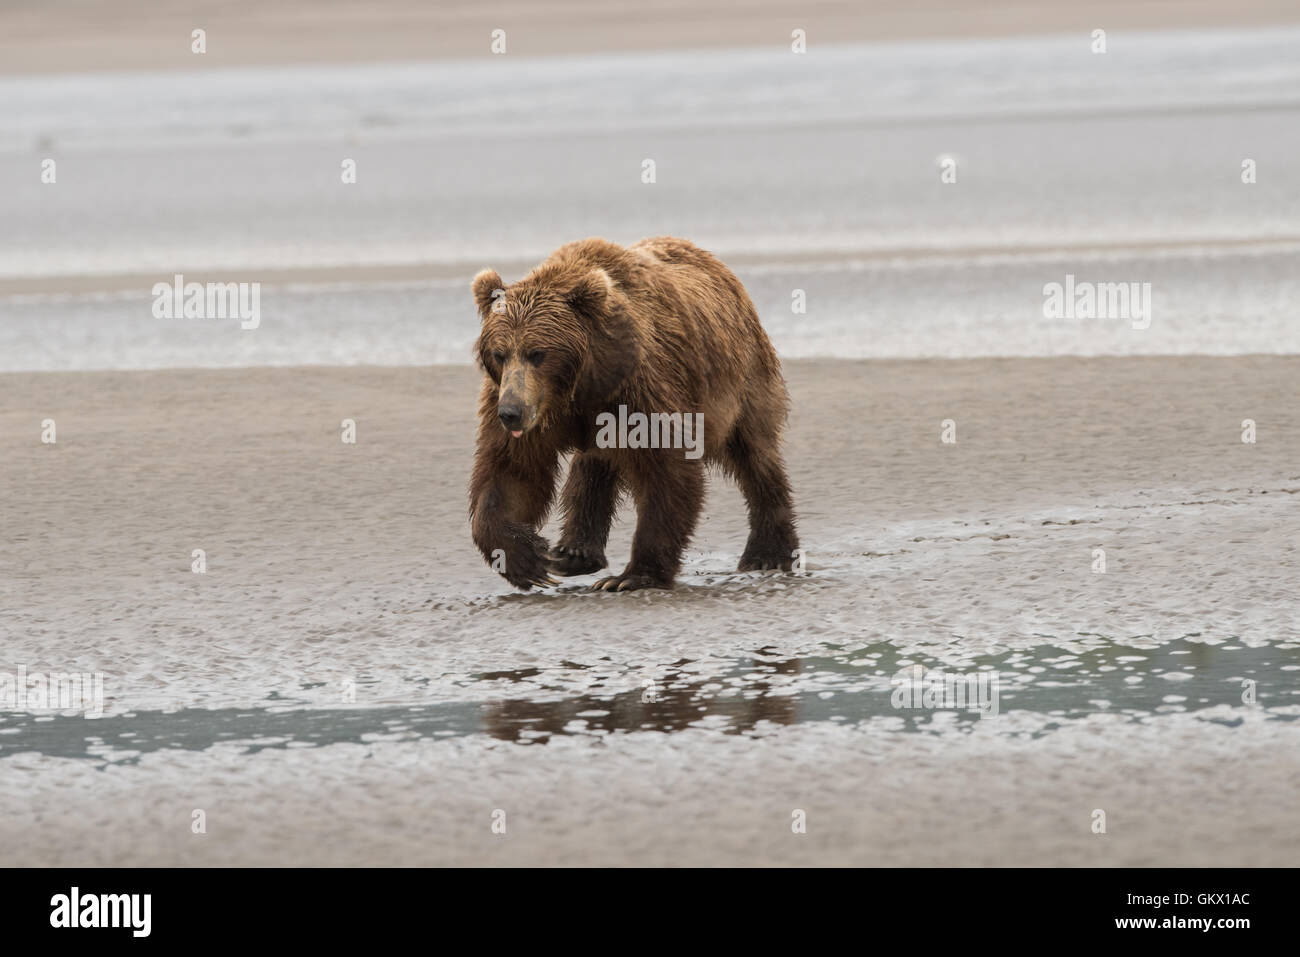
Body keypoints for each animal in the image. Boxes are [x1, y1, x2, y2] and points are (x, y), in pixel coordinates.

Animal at [467, 234, 790, 587]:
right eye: (499, 353)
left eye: (537, 353)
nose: (510, 412)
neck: (580, 386)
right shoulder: (529, 407)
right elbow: (511, 474)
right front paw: (527, 558)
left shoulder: (640, 389)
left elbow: (666, 469)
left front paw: (633, 575)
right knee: (594, 464)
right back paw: (572, 553)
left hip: (741, 380)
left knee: (755, 456)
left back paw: (769, 553)